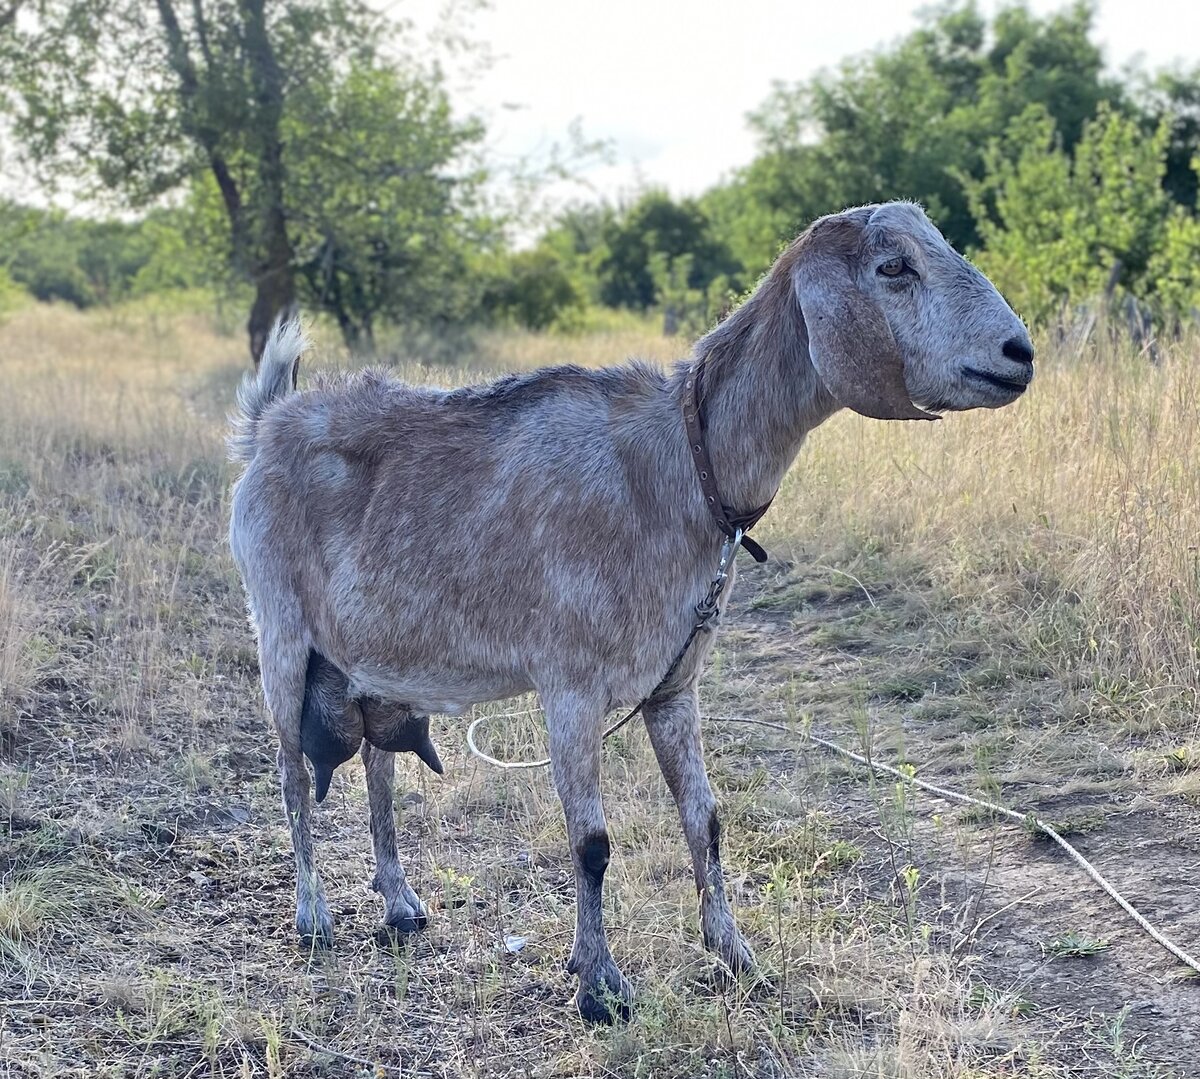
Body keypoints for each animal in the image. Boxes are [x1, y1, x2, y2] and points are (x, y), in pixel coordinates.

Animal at [226, 200, 1032, 1022]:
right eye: (892, 266)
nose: (1017, 352)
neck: (680, 460)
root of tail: (270, 423)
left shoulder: (674, 685)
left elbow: (704, 818)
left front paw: (736, 954)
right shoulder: (570, 687)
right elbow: (591, 843)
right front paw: (600, 985)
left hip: (374, 658)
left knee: (378, 767)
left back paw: (400, 902)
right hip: (280, 632)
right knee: (291, 771)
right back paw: (314, 915)